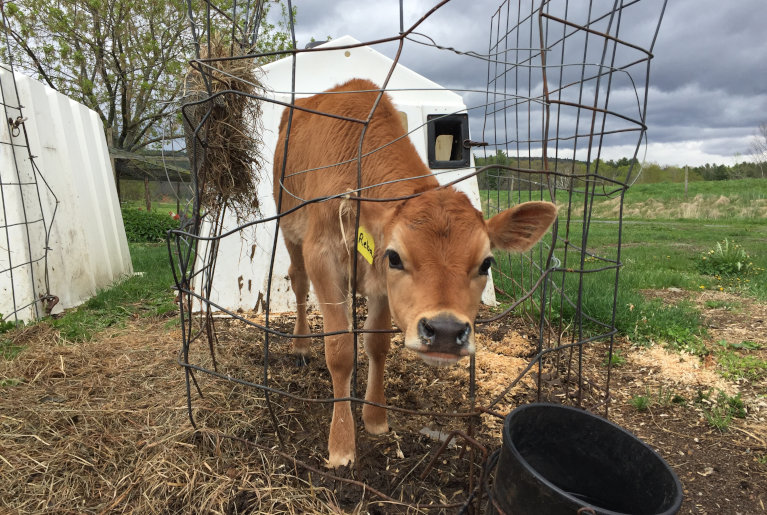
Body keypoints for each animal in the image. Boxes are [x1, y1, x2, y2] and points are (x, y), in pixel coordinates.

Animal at [273, 78, 557, 467]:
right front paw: (342, 444)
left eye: (486, 263)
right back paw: (301, 344)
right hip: (289, 229)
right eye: (395, 257)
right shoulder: (323, 258)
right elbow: (340, 350)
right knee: (298, 281)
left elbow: (376, 345)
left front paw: (375, 416)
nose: (446, 331)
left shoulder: (381, 286)